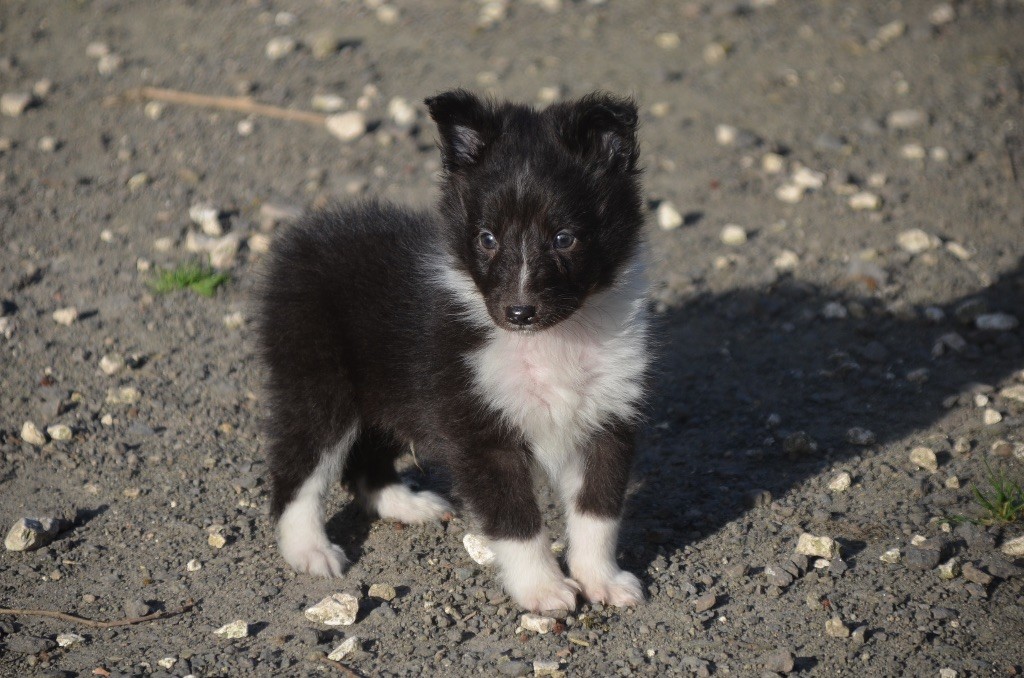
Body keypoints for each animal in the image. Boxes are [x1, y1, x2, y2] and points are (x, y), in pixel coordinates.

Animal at [260, 87, 651, 614]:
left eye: (564, 238)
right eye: (486, 238)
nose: (518, 312)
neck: (551, 341)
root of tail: (304, 236)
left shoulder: (608, 416)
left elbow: (598, 509)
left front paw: (601, 580)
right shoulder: (479, 429)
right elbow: (516, 518)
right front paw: (543, 590)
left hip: (388, 387)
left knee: (365, 459)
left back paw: (407, 503)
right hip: (318, 381)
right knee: (299, 466)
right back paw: (309, 550)